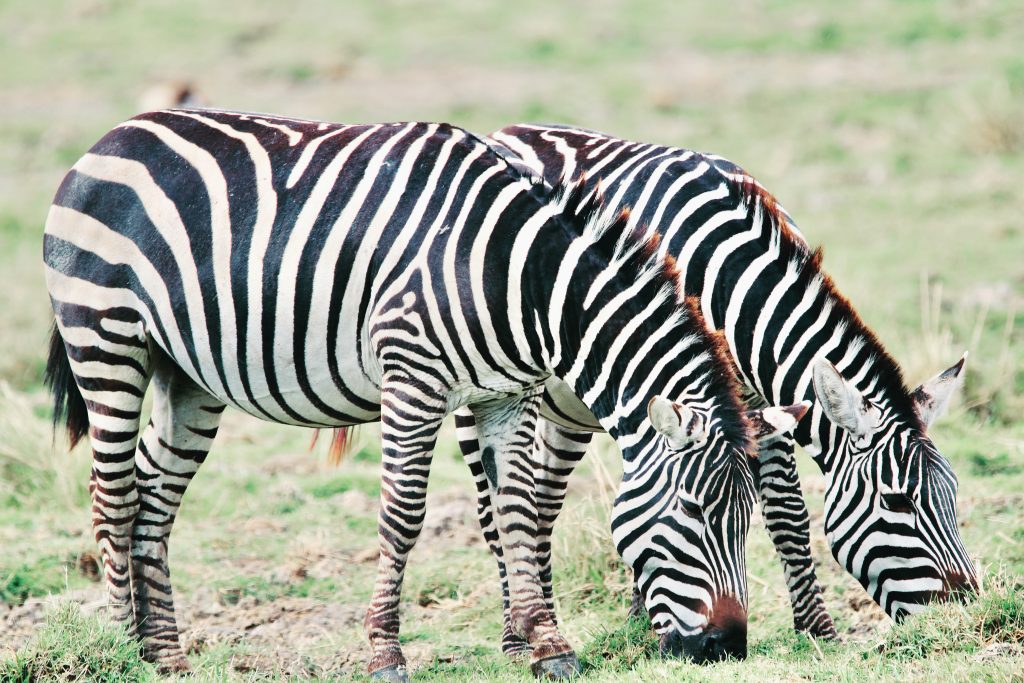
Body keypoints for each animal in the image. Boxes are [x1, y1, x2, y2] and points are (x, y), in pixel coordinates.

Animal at [44, 111, 794, 679]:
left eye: (748, 517)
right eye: (695, 510)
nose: (728, 648)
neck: (519, 278)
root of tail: (111, 137)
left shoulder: (507, 396)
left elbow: (517, 512)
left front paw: (548, 647)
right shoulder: (412, 380)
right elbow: (403, 517)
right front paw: (384, 653)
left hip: (188, 375)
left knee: (153, 495)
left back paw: (164, 656)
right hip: (107, 337)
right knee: (114, 493)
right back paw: (121, 649)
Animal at [454, 121, 974, 651]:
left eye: (952, 494)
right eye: (897, 501)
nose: (965, 613)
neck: (729, 283)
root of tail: (506, 129)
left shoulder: (758, 404)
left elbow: (783, 512)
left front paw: (815, 632)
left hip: (569, 414)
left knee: (540, 504)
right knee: (495, 513)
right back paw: (518, 639)